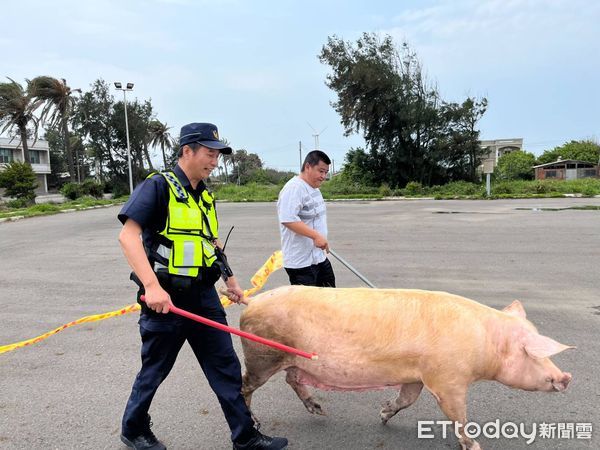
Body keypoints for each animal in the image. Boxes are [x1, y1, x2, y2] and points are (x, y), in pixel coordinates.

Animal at [238, 286, 572, 448]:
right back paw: (255, 422)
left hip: (290, 358)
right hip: (262, 355)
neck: (485, 343)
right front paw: (475, 445)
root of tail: (251, 300)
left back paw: (320, 410)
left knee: (292, 379)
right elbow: (458, 415)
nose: (566, 377)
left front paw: (383, 414)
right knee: (244, 385)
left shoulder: (417, 376)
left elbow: (407, 399)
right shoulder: (447, 380)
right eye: (533, 352)